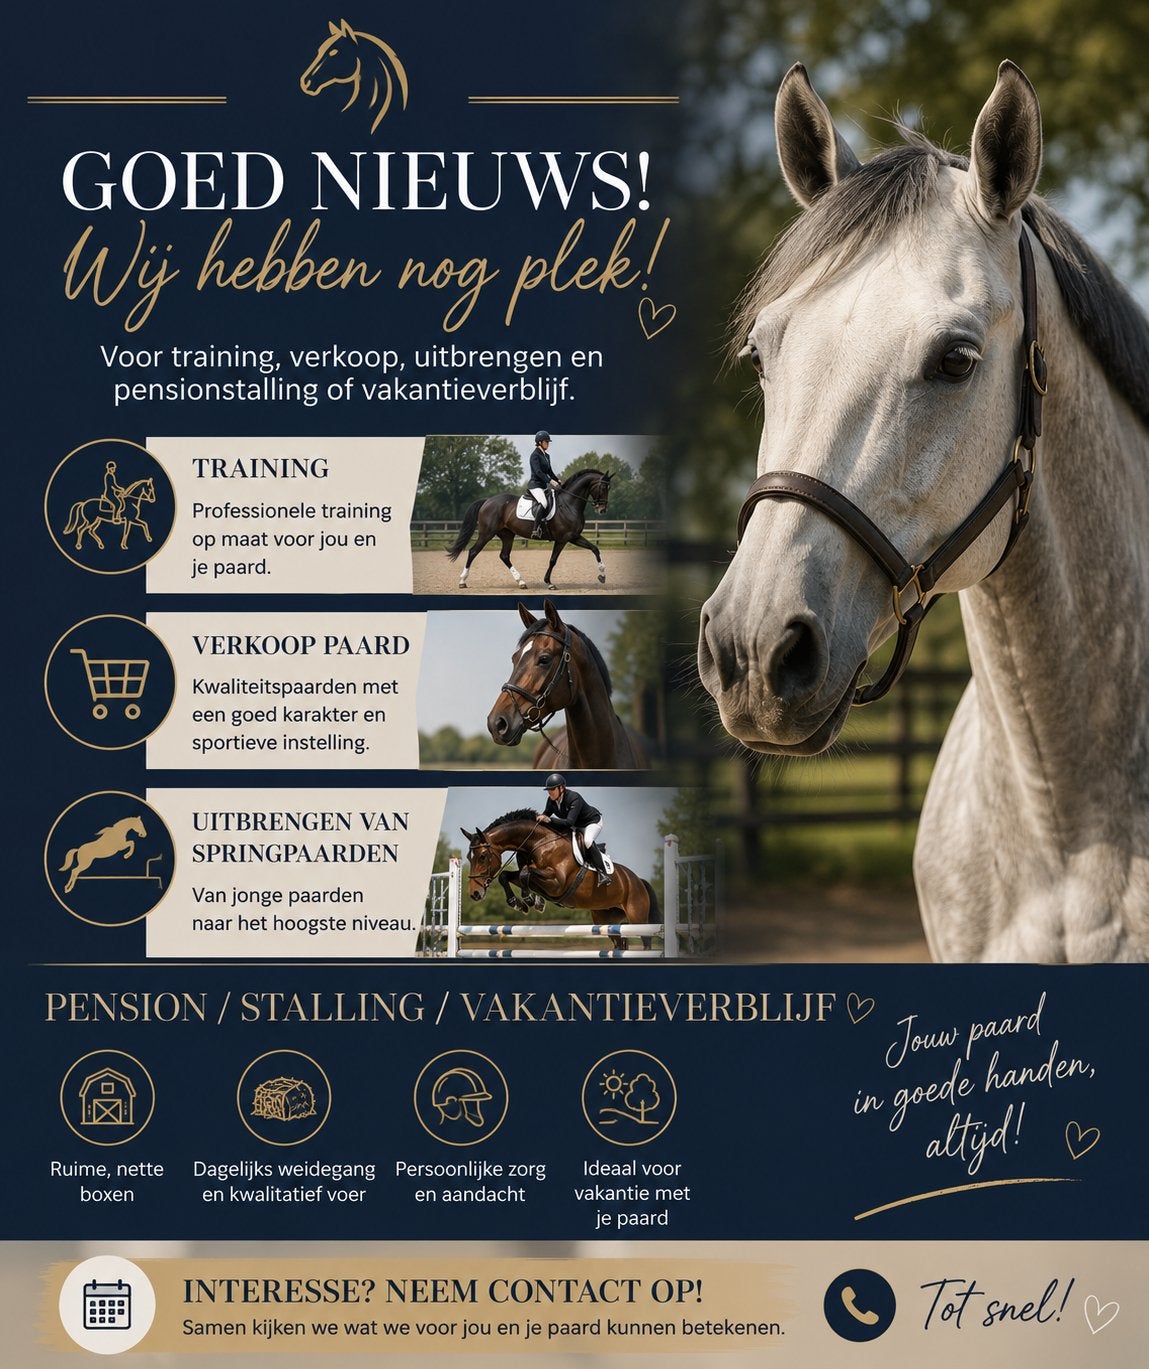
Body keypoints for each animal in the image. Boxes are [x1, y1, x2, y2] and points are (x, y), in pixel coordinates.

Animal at [447, 468, 612, 589]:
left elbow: (594, 549)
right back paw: (462, 581)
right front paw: (549, 583)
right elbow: (553, 560)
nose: (602, 509)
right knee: (473, 552)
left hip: (507, 535)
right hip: (486, 533)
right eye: (603, 487)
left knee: (504, 556)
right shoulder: (565, 538)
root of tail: (487, 501)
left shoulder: (572, 536)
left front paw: (602, 576)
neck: (568, 504)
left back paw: (521, 582)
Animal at [462, 809, 660, 950]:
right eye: (469, 857)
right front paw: (523, 903)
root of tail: (638, 880)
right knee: (619, 942)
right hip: (608, 920)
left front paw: (529, 900)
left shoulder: (556, 883)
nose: (475, 893)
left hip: (637, 917)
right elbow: (508, 876)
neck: (538, 843)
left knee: (646, 941)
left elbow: (526, 873)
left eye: (482, 856)